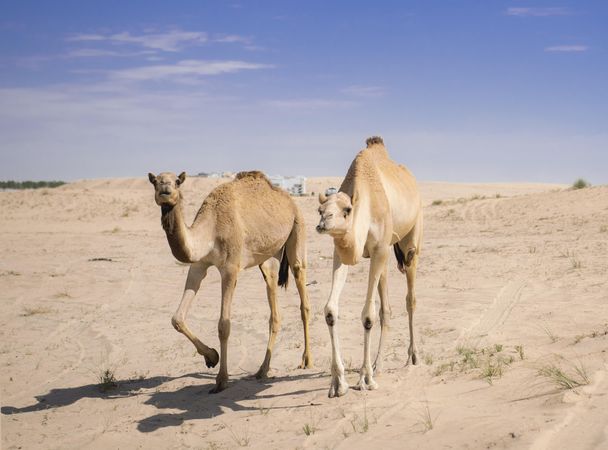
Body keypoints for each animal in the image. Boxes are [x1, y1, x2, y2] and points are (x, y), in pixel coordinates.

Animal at [148, 171, 314, 392]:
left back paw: (307, 360)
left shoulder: (230, 268)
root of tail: (290, 201)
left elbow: (223, 325)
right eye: (155, 182)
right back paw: (262, 370)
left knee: (303, 297)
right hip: (269, 257)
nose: (165, 191)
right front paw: (211, 357)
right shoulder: (198, 265)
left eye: (176, 182)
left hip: (298, 230)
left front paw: (221, 379)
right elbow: (177, 318)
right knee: (274, 307)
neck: (210, 229)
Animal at [318, 136, 422, 398]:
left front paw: (365, 379)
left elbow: (367, 316)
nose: (323, 223)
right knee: (386, 309)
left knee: (410, 298)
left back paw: (413, 356)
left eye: (346, 210)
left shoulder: (380, 248)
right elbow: (331, 310)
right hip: (384, 257)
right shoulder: (342, 252)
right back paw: (379, 365)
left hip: (410, 241)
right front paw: (338, 383)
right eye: (320, 210)